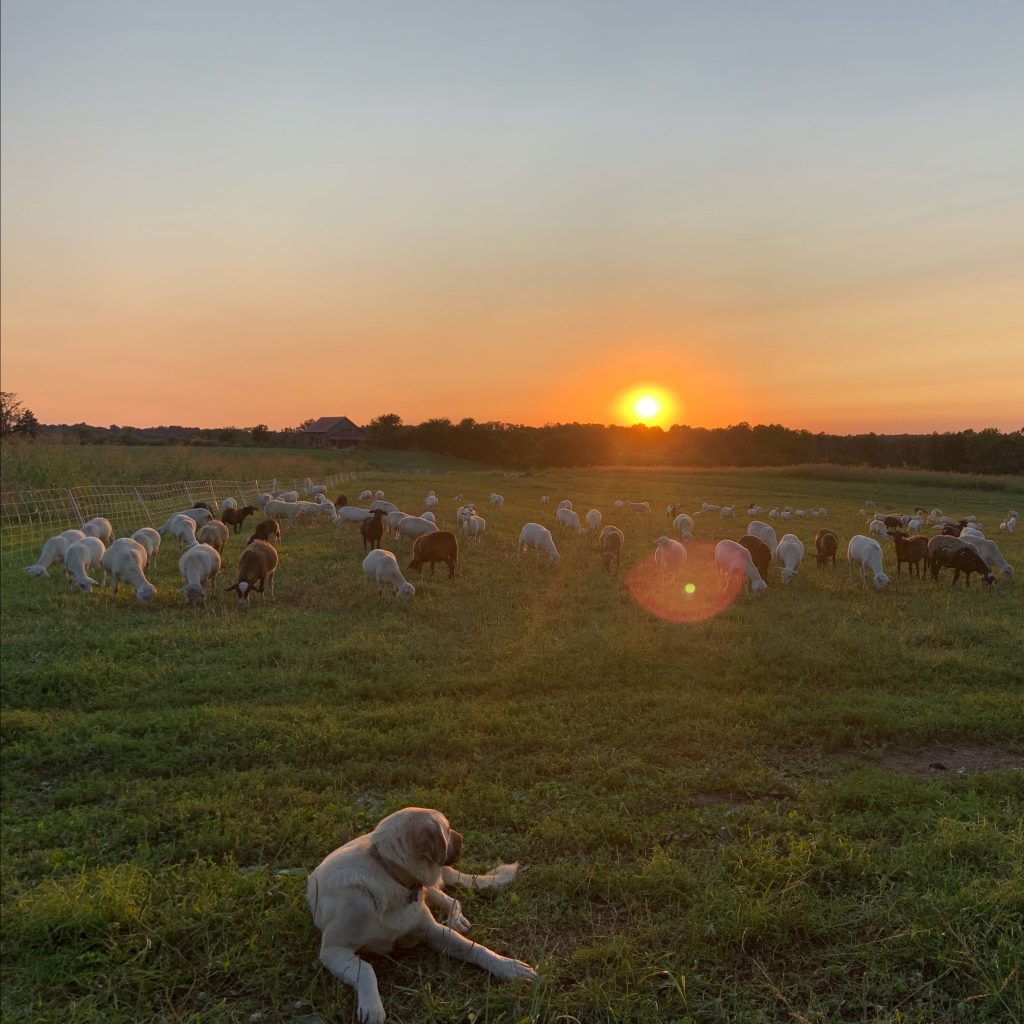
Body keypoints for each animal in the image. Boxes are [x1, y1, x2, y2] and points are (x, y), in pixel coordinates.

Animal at [307, 806, 540, 1024]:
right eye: (447, 829)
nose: (462, 837)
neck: (389, 874)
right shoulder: (333, 950)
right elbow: (365, 969)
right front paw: (372, 1006)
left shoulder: (432, 930)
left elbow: (475, 948)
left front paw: (506, 965)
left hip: (431, 890)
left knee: (452, 901)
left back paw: (456, 919)